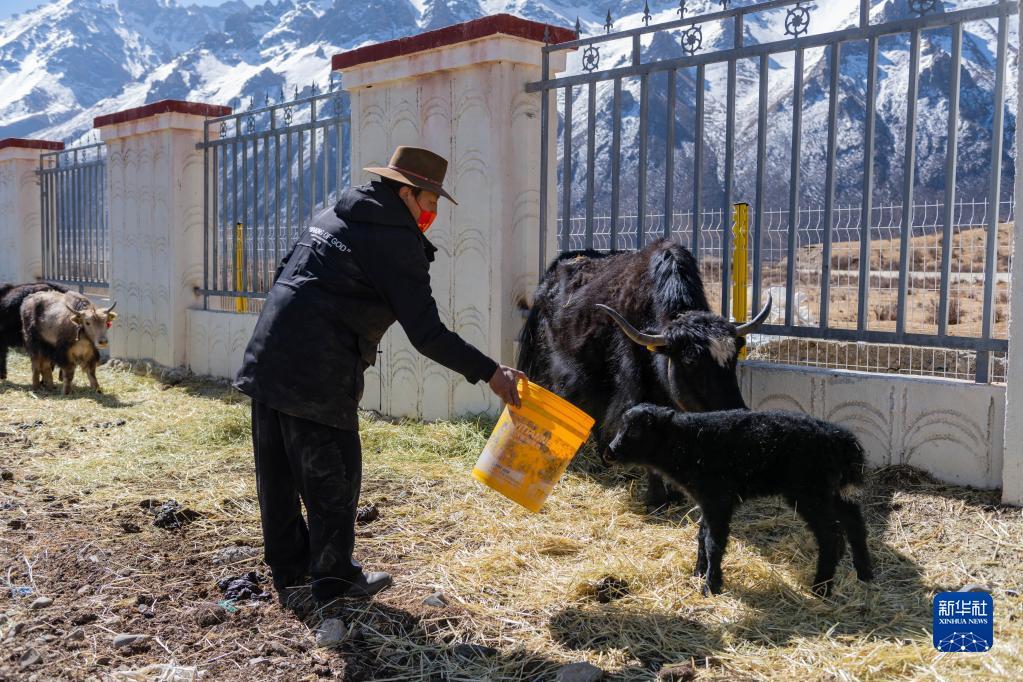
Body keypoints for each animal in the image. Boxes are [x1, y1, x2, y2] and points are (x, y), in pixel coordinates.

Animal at [605, 404, 871, 597]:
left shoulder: (718, 498)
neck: (687, 443)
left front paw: (711, 586)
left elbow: (713, 542)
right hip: (832, 490)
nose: (610, 452)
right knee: (854, 523)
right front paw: (699, 572)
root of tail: (841, 439)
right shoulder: (707, 499)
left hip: (809, 491)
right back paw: (864, 574)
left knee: (830, 534)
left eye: (636, 430)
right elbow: (702, 535)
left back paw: (821, 588)